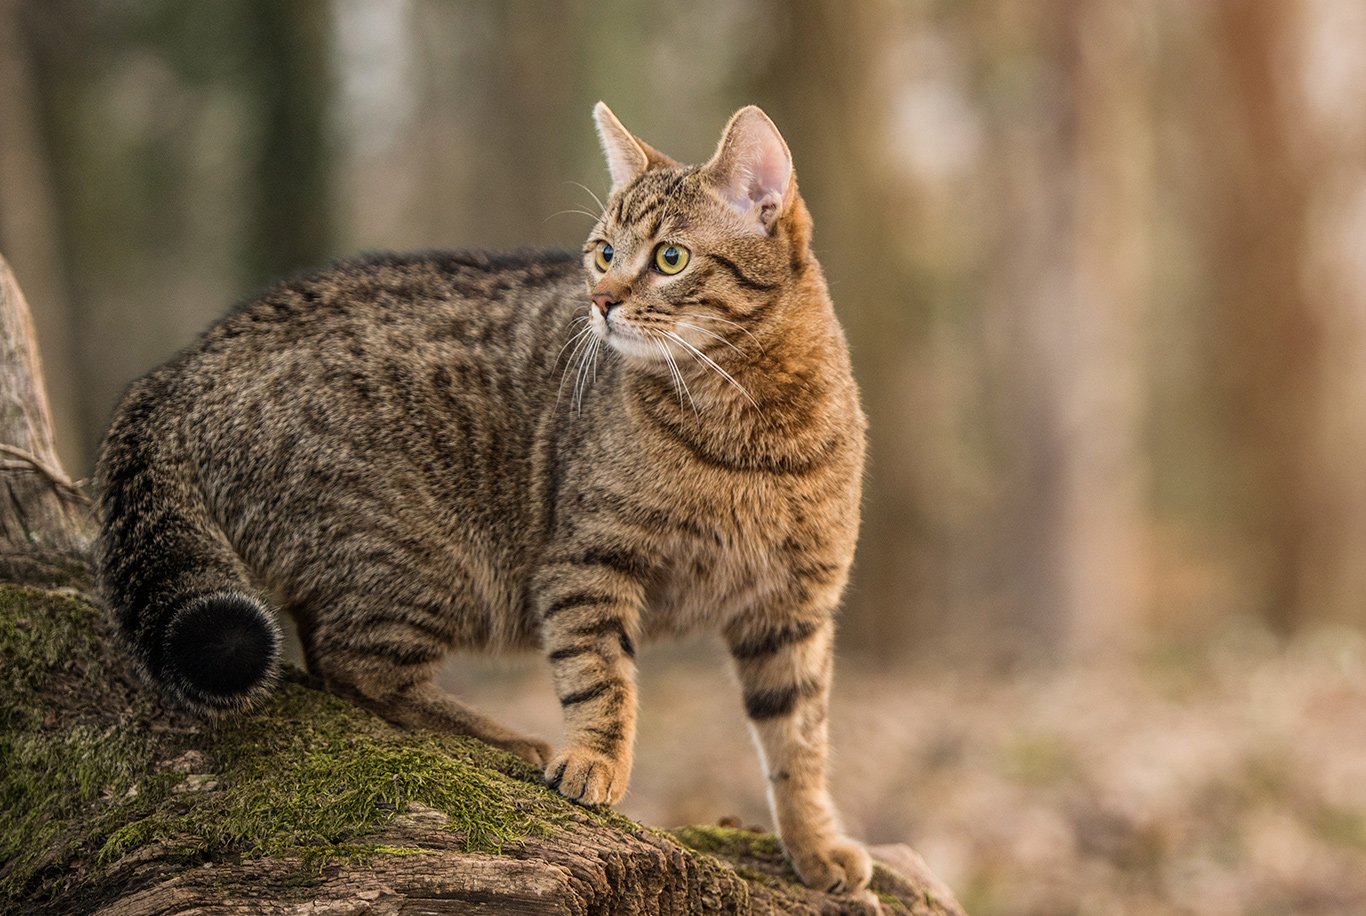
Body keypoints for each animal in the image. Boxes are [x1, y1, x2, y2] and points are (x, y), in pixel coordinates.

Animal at [90, 102, 868, 895]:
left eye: (671, 258)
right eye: (603, 254)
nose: (600, 301)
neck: (751, 431)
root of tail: (179, 367)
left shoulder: (794, 608)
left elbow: (799, 739)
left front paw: (814, 844)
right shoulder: (586, 564)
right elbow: (600, 676)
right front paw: (595, 759)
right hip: (415, 558)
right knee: (354, 668)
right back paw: (501, 737)